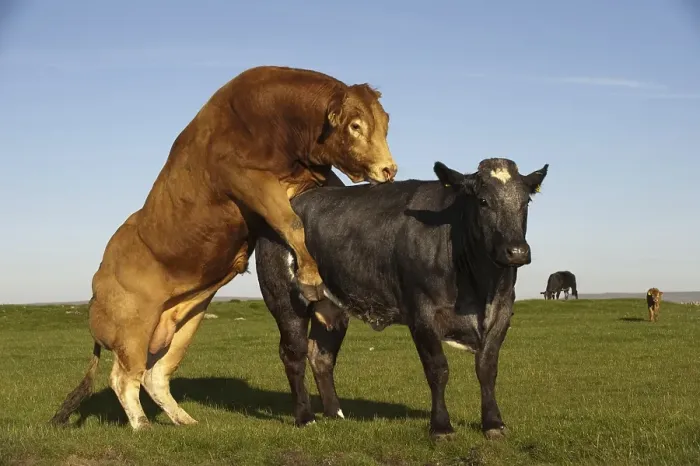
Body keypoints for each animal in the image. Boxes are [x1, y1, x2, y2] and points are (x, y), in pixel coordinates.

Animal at [49, 65, 398, 431]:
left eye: (384, 124)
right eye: (355, 125)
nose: (389, 169)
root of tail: (98, 281)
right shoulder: (248, 180)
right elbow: (290, 222)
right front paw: (310, 276)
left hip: (183, 323)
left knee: (154, 376)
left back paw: (185, 421)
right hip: (133, 331)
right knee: (123, 378)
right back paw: (143, 425)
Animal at [255, 157, 549, 440]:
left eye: (526, 201)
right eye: (483, 201)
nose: (517, 251)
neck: (479, 287)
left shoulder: (502, 311)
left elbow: (487, 368)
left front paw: (494, 424)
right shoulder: (422, 313)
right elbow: (438, 370)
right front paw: (441, 427)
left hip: (332, 308)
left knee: (321, 356)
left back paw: (335, 414)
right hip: (285, 301)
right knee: (294, 354)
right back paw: (305, 417)